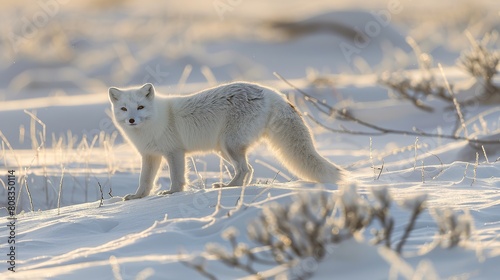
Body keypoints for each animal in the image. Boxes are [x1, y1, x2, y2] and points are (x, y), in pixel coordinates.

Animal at [109, 82, 344, 200]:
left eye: (140, 107)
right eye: (124, 109)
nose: (131, 120)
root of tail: (271, 92)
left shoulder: (174, 152)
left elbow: (177, 178)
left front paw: (173, 193)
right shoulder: (150, 155)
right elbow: (145, 181)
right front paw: (138, 197)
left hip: (228, 145)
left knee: (246, 169)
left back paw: (227, 187)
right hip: (224, 149)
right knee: (248, 170)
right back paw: (233, 187)